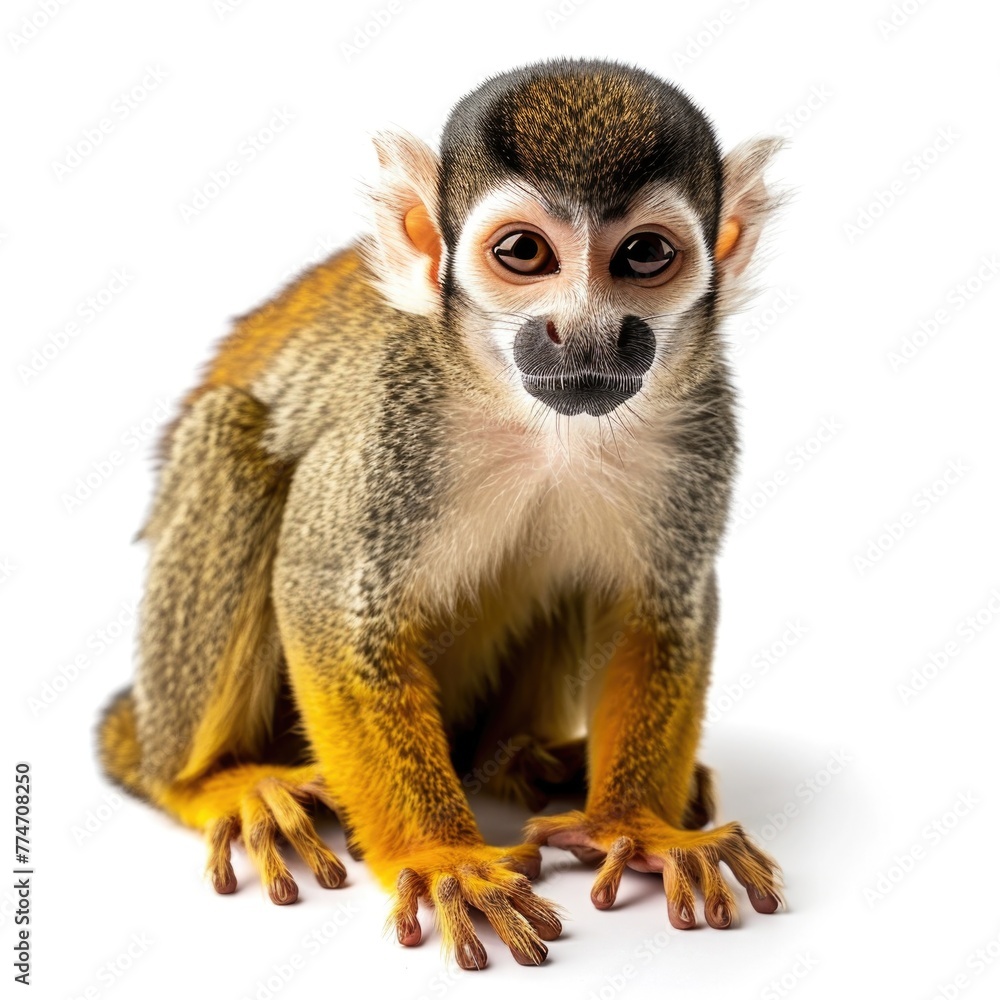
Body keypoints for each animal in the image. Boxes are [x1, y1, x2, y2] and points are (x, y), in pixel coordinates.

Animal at [97, 57, 786, 970]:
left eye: (645, 254)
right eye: (524, 252)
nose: (586, 334)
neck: (541, 421)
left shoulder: (700, 417)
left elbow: (659, 605)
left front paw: (637, 827)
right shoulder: (394, 413)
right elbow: (326, 602)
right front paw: (443, 855)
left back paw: (524, 762)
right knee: (230, 438)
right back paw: (209, 783)